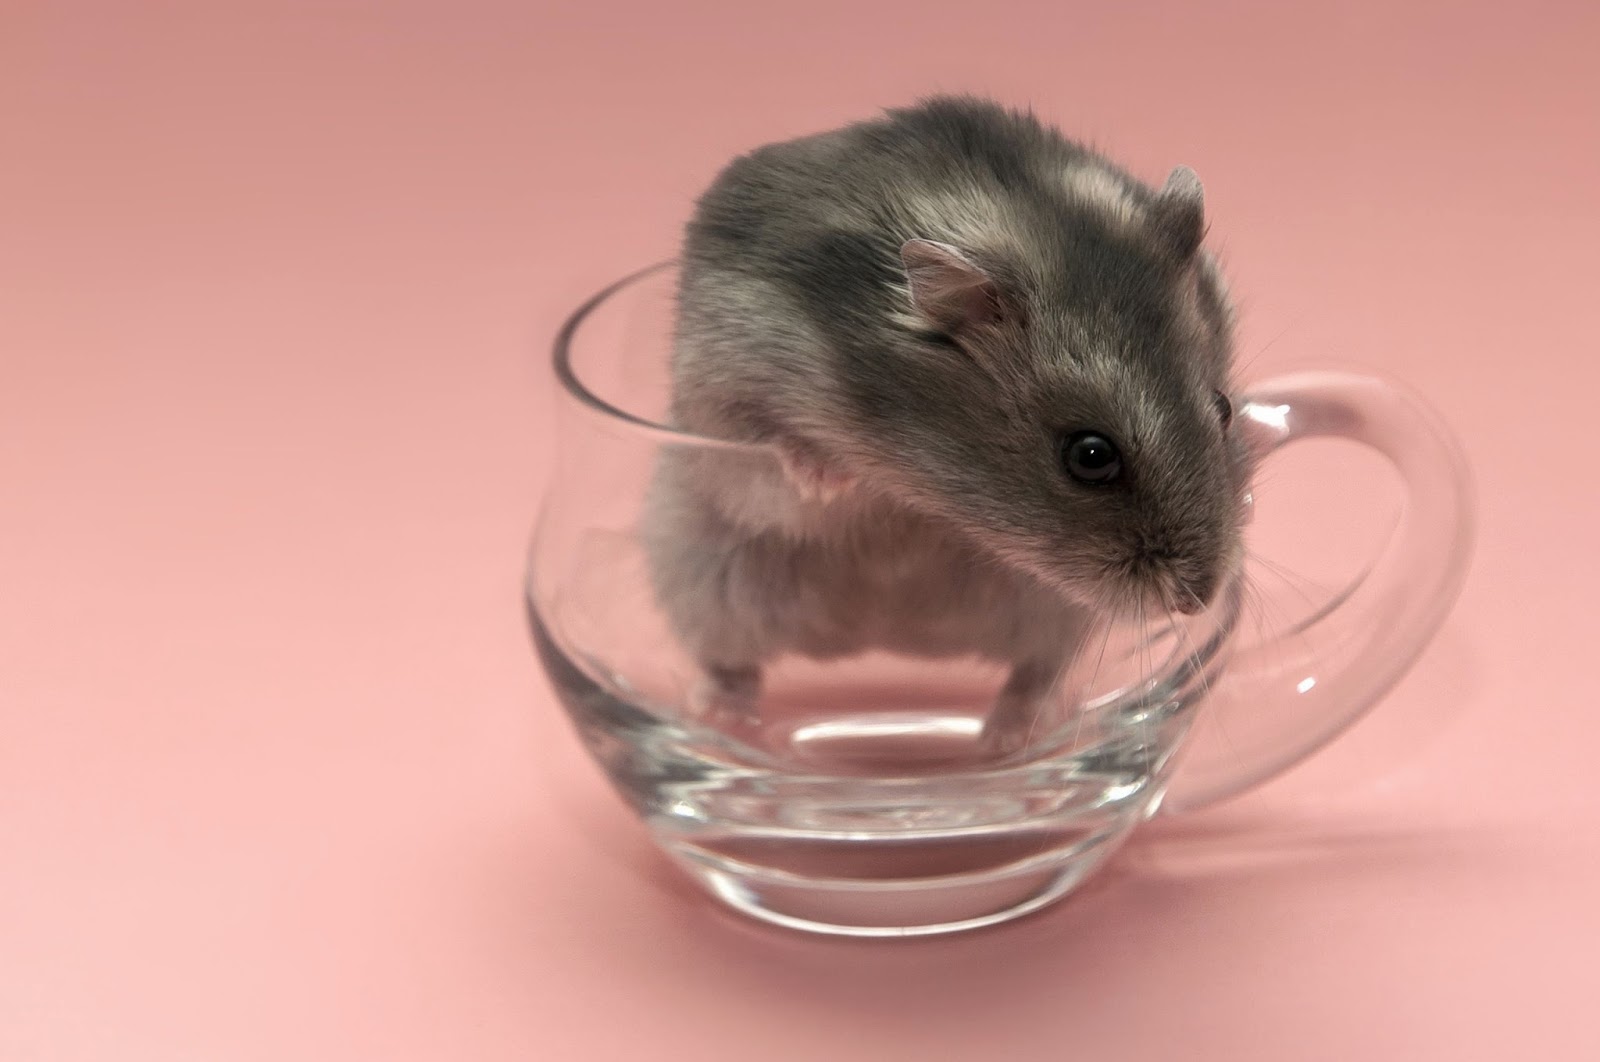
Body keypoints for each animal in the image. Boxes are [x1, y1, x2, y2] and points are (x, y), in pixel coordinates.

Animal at [643, 95, 1253, 752]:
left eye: (1225, 408)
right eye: (1090, 455)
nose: (1196, 602)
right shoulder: (718, 408)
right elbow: (773, 464)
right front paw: (825, 475)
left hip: (1053, 615)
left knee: (1035, 673)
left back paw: (1007, 736)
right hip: (703, 579)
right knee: (731, 663)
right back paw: (718, 715)